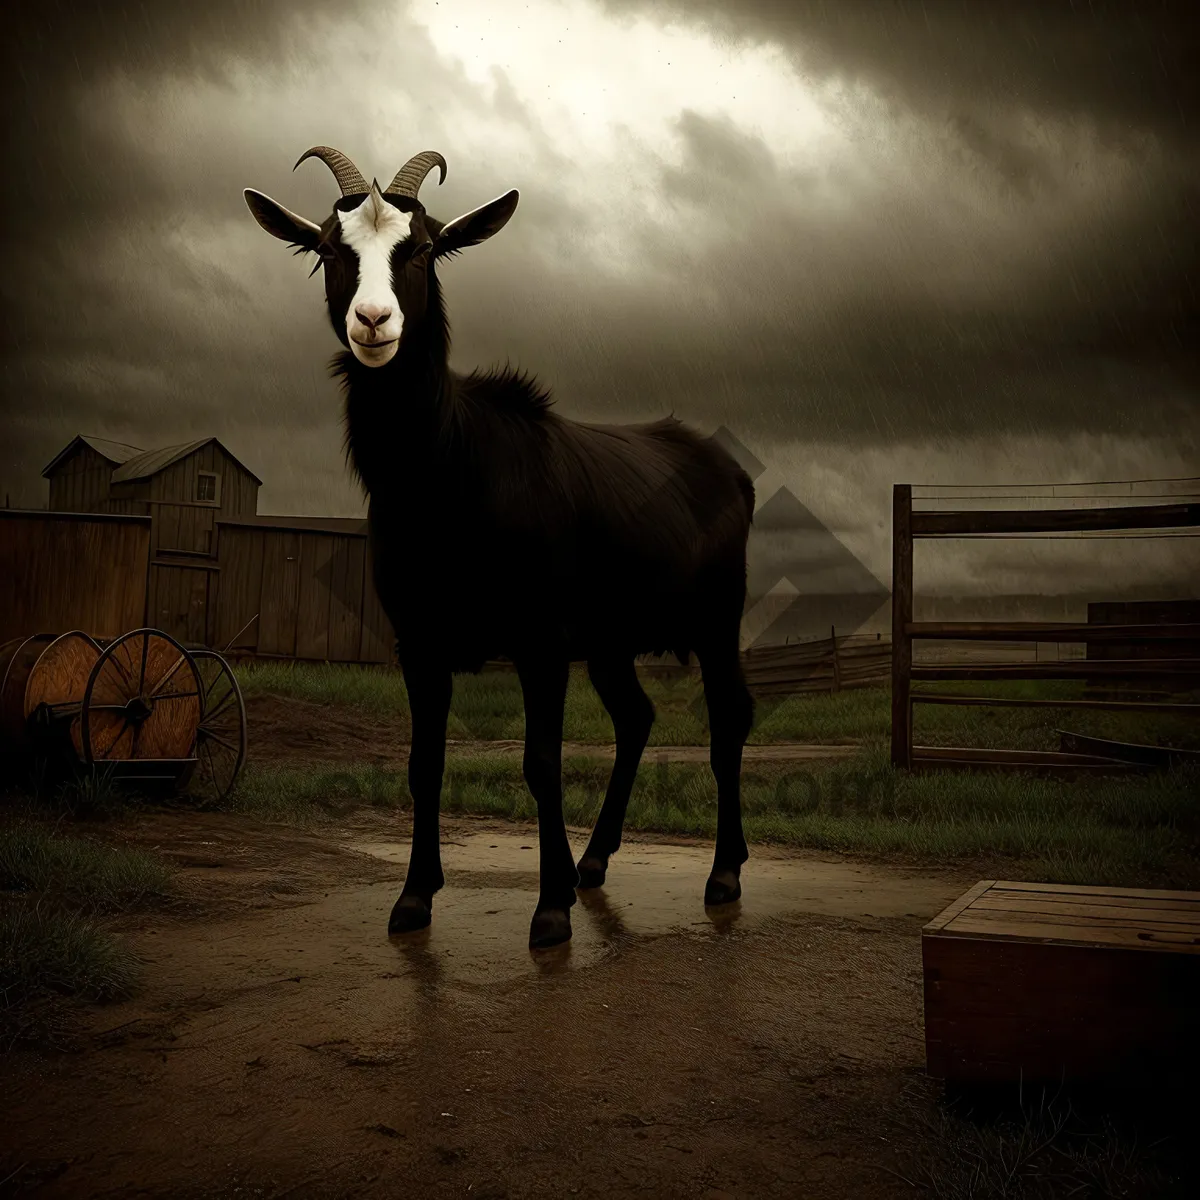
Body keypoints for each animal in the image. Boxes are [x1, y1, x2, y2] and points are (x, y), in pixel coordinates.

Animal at [244, 150, 753, 945]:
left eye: (422, 249)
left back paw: (723, 871)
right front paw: (414, 897)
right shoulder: (420, 642)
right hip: (611, 643)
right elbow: (423, 763)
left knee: (727, 718)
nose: (373, 321)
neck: (450, 468)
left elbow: (541, 762)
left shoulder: (540, 642)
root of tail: (727, 471)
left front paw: (549, 911)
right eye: (329, 248)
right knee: (636, 718)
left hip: (716, 621)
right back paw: (594, 862)